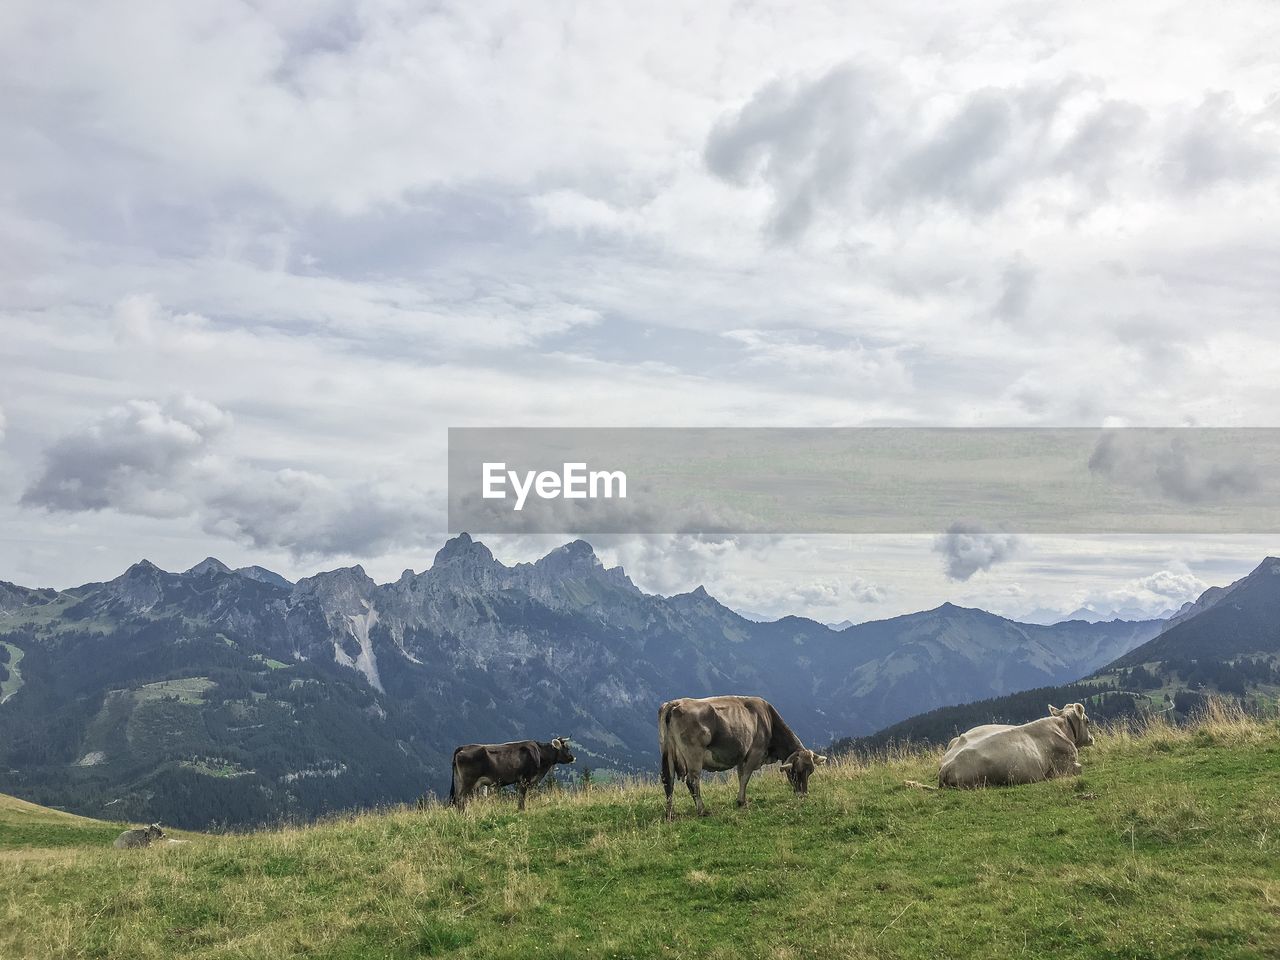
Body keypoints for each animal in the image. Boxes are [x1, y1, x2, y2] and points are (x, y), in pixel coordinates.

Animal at [660, 696, 829, 824]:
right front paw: (742, 801)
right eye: (795, 772)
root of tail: (675, 703)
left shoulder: (742, 756)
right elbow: (746, 777)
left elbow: (741, 776)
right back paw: (702, 810)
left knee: (668, 781)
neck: (769, 721)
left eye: (810, 772)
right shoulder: (754, 753)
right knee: (692, 781)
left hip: (667, 751)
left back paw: (670, 814)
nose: (803, 795)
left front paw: (741, 800)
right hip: (694, 755)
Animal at [936, 701, 1095, 793]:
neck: (1063, 727)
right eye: (1087, 721)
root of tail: (946, 766)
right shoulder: (1064, 766)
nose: (1092, 739)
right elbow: (1080, 769)